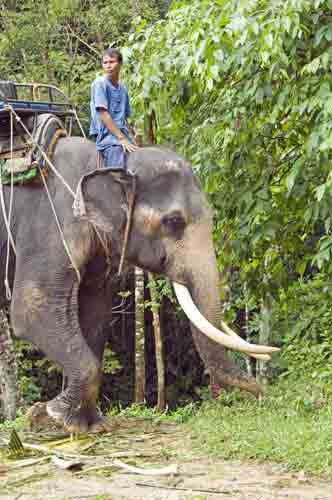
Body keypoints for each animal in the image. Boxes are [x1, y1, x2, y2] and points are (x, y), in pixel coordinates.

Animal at [0, 138, 278, 434]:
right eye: (174, 221)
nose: (263, 396)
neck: (102, 163)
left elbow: (95, 313)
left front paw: (84, 423)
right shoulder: (50, 228)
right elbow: (32, 310)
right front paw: (56, 415)